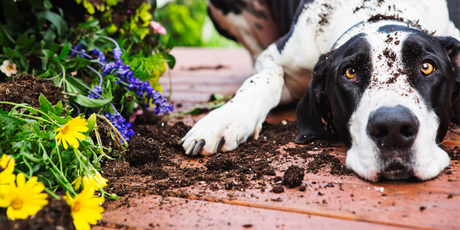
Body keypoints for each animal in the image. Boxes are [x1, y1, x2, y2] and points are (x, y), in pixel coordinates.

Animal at [179, 0, 460, 183]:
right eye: (350, 72)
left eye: (426, 67)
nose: (393, 129)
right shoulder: (275, 56)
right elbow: (264, 79)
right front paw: (224, 119)